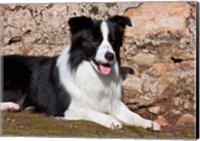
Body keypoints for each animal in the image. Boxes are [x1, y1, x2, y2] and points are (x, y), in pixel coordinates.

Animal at [1, 15, 161, 130]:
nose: (110, 56)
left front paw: (148, 122)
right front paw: (112, 121)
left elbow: (132, 114)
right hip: (18, 78)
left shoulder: (113, 102)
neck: (91, 71)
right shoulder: (64, 107)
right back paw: (11, 106)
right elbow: (91, 111)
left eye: (113, 41)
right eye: (94, 40)